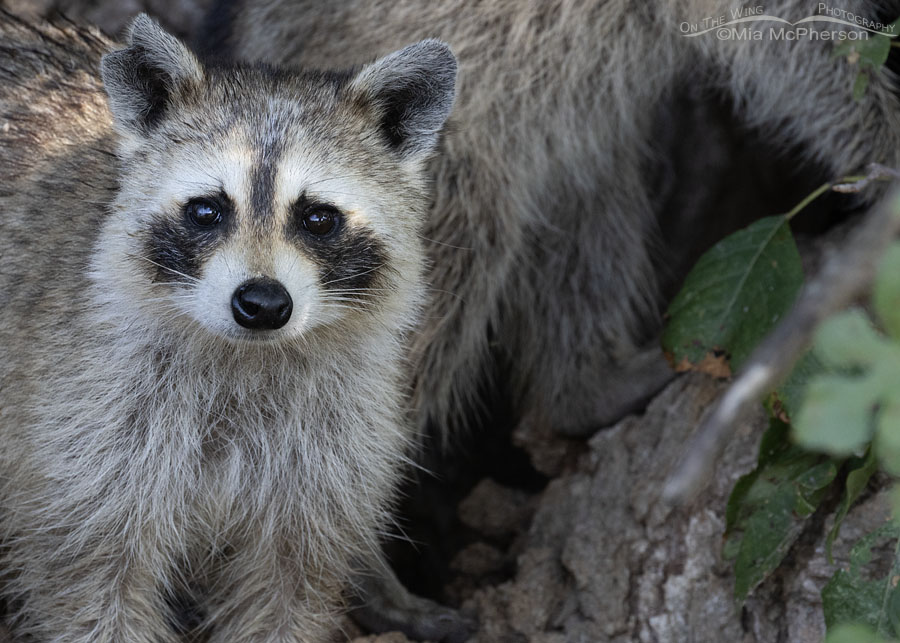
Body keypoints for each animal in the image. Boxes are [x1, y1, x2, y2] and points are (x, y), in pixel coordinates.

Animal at [0, 10, 458, 643]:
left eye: (318, 218)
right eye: (207, 210)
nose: (263, 303)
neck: (246, 357)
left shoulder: (327, 450)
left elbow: (287, 590)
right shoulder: (81, 425)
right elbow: (94, 586)